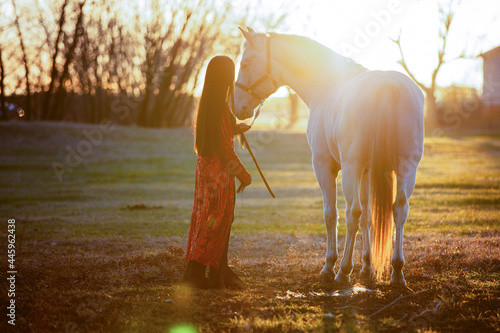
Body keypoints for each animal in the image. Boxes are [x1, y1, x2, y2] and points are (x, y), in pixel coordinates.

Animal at [234, 27, 422, 286]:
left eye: (245, 63)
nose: (237, 107)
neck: (326, 85)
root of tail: (386, 84)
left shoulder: (324, 167)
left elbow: (331, 214)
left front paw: (329, 265)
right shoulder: (367, 170)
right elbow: (368, 217)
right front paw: (367, 268)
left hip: (351, 168)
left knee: (352, 213)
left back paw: (343, 270)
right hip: (406, 167)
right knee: (399, 210)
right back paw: (396, 271)